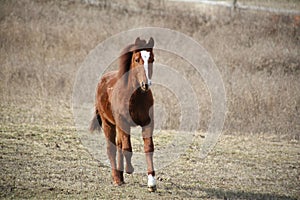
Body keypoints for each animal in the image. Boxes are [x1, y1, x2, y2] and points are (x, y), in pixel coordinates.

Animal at [89, 36, 156, 191]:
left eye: (152, 59)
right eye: (137, 59)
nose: (146, 84)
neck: (135, 96)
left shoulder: (147, 123)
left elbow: (148, 148)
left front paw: (152, 183)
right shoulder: (123, 123)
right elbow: (127, 148)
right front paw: (129, 169)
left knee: (118, 145)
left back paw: (120, 176)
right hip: (109, 124)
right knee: (112, 149)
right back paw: (116, 178)